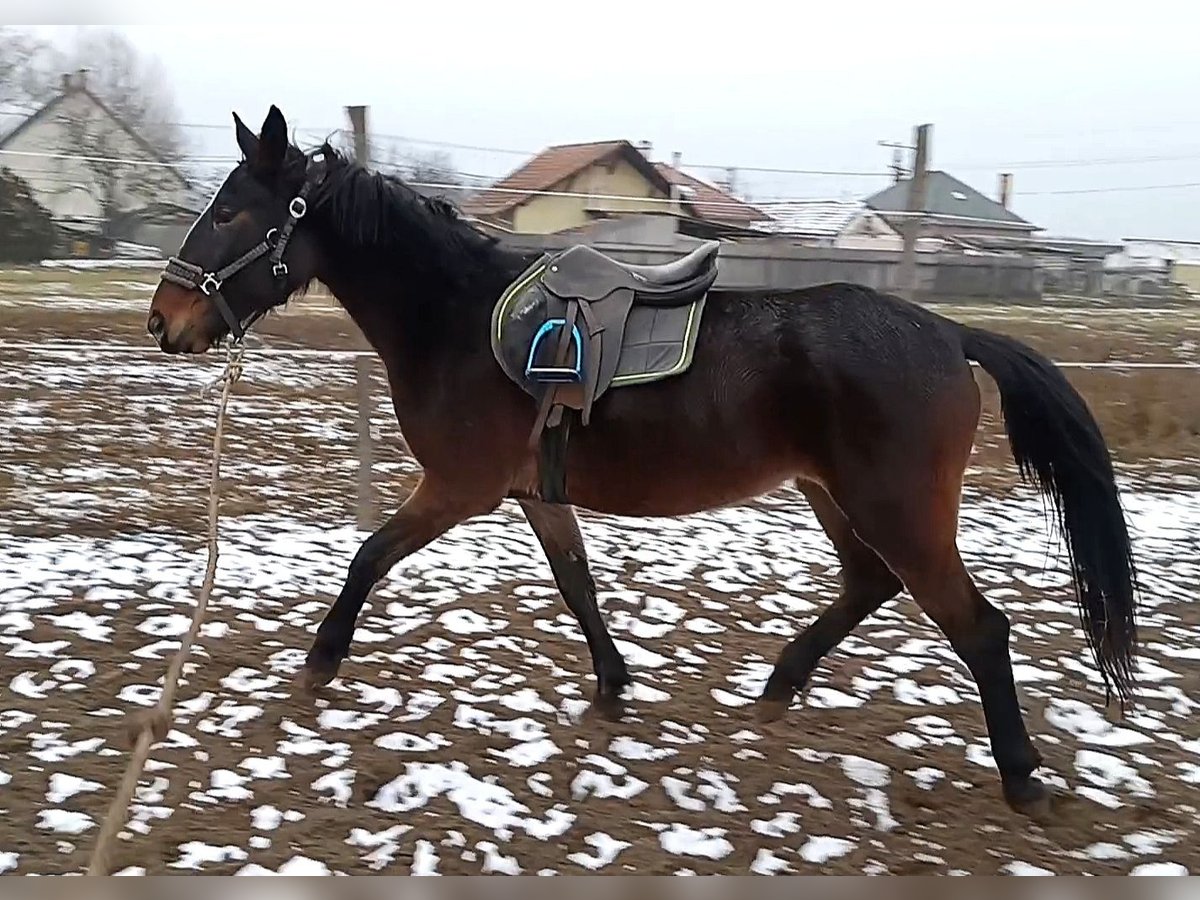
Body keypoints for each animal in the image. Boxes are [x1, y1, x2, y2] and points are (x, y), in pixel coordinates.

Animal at [145, 107, 1137, 825]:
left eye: (230, 211)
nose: (165, 321)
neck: (455, 317)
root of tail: (948, 332)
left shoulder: (459, 489)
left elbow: (369, 556)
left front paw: (320, 660)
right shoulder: (533, 493)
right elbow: (576, 583)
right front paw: (614, 688)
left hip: (896, 508)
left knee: (978, 628)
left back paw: (1021, 777)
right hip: (836, 496)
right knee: (868, 585)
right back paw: (778, 687)